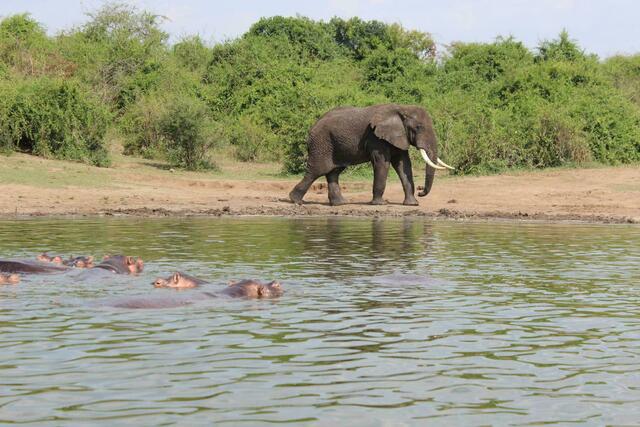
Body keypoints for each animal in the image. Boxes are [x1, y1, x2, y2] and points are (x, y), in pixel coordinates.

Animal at [289, 104, 454, 206]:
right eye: (418, 127)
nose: (421, 192)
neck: (402, 108)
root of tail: (312, 127)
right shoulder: (376, 138)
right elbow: (382, 163)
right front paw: (380, 204)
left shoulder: (399, 137)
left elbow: (403, 165)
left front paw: (412, 204)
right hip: (321, 143)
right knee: (316, 171)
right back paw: (295, 201)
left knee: (334, 172)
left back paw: (340, 204)